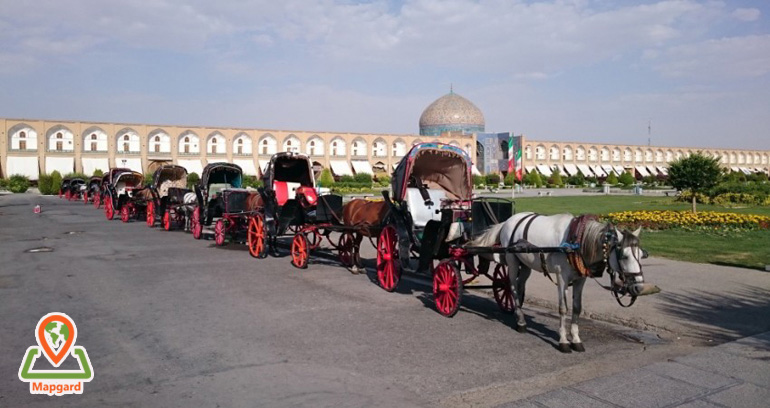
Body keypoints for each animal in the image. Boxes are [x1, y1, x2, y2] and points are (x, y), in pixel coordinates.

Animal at [472, 212, 656, 352]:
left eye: (642, 255)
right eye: (624, 256)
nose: (639, 287)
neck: (577, 242)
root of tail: (508, 220)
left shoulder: (580, 279)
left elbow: (576, 308)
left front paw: (575, 339)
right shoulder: (561, 277)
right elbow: (563, 308)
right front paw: (563, 341)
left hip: (525, 265)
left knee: (519, 285)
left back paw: (519, 314)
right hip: (512, 261)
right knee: (512, 288)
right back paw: (521, 322)